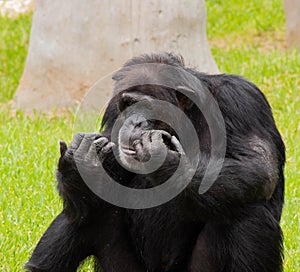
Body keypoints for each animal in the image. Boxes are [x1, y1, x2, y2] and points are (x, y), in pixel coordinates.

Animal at [26, 52, 286, 270]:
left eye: (145, 105)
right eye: (127, 105)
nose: (133, 121)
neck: (187, 117)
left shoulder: (242, 101)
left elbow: (256, 167)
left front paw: (165, 161)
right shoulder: (113, 111)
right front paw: (81, 166)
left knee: (248, 212)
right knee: (84, 213)